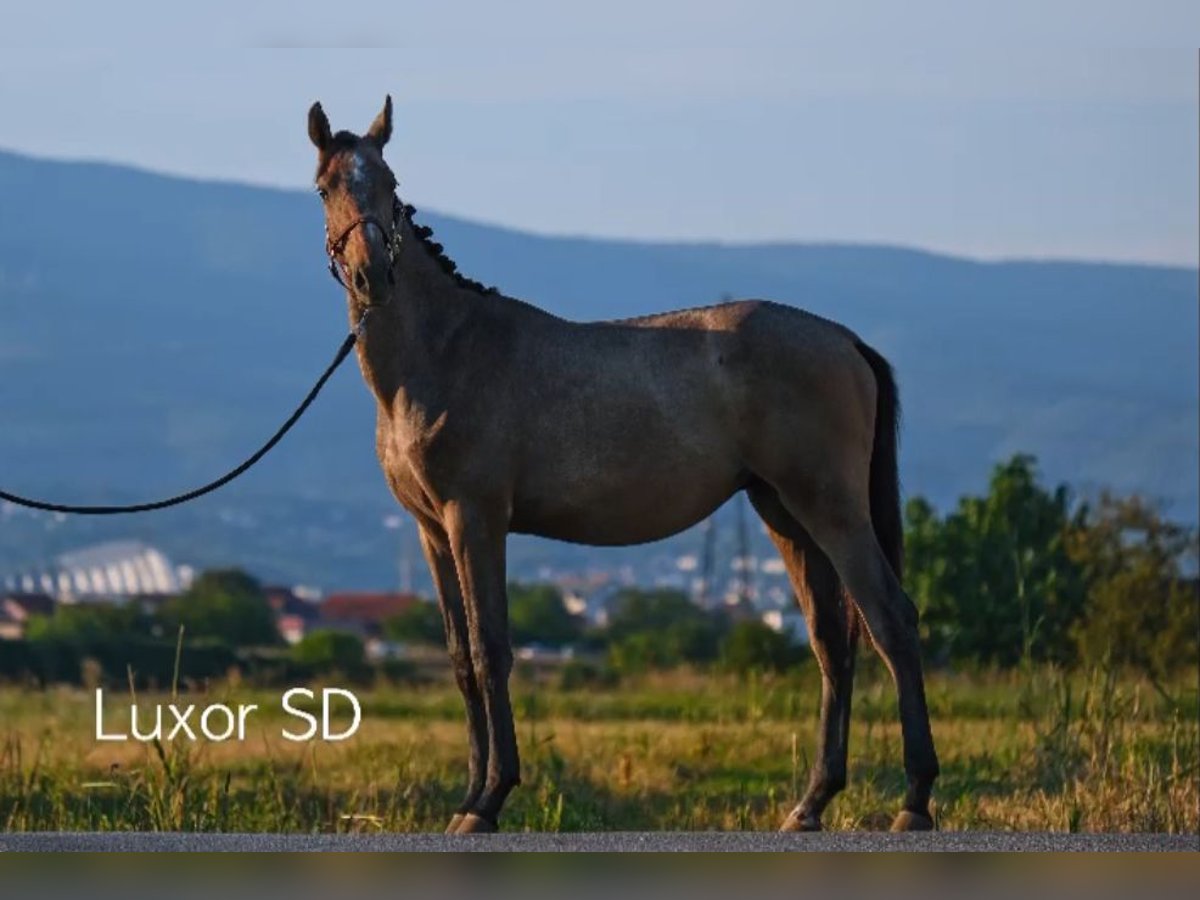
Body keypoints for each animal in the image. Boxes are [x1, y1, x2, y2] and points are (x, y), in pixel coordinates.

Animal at [307, 95, 936, 835]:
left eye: (390, 182)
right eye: (327, 187)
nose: (373, 274)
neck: (445, 352)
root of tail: (844, 340)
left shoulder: (476, 519)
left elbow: (493, 649)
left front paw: (491, 798)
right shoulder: (432, 531)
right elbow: (461, 658)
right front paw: (466, 800)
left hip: (831, 509)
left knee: (890, 621)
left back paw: (915, 800)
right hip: (784, 512)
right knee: (832, 642)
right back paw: (810, 803)